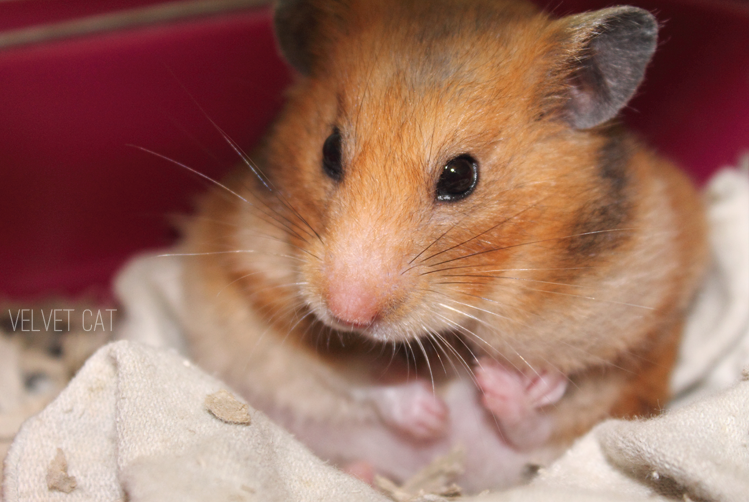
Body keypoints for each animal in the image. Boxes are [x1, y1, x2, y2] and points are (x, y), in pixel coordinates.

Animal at [179, 0, 708, 492]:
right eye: (329, 150)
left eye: (460, 175)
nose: (347, 313)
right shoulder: (263, 289)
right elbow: (355, 371)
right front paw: (427, 413)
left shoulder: (639, 310)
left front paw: (507, 383)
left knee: (533, 433)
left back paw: (509, 388)